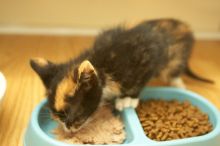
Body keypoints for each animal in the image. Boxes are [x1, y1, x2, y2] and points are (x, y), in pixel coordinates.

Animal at [30, 18, 212, 132]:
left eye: (76, 113)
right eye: (58, 117)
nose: (68, 127)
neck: (101, 66)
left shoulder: (148, 57)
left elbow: (136, 82)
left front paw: (127, 99)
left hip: (176, 57)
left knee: (173, 69)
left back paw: (177, 83)